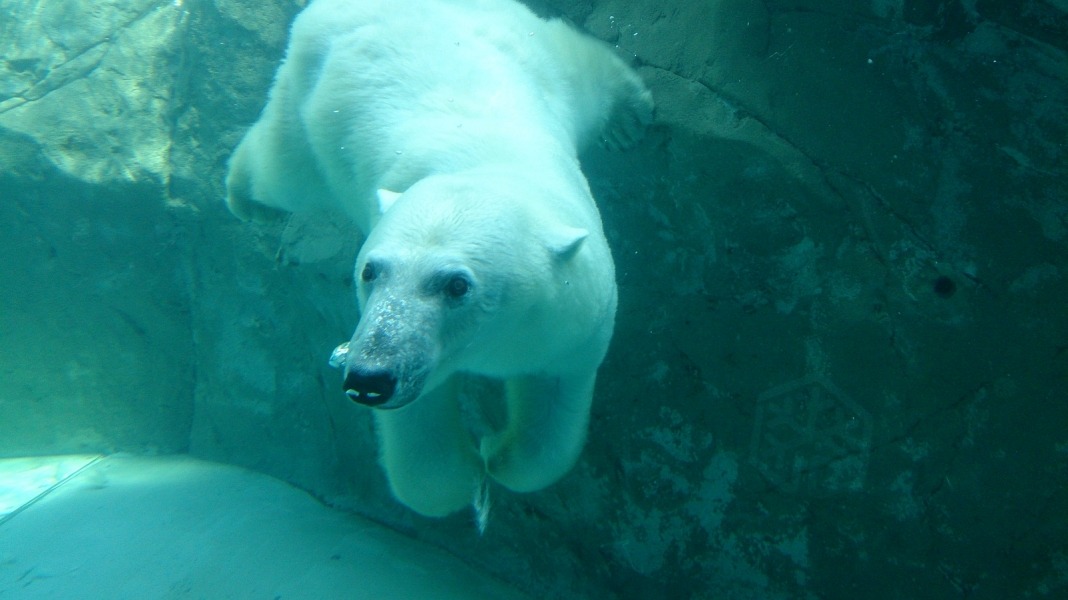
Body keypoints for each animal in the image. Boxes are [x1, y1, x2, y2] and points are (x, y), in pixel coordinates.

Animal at [225, 0, 649, 516]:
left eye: (456, 284)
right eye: (369, 272)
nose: (368, 376)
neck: (488, 168)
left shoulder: (574, 323)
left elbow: (550, 415)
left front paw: (497, 457)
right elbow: (420, 438)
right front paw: (467, 477)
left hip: (528, 49)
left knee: (580, 69)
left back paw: (629, 114)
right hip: (312, 90)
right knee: (283, 169)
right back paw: (246, 198)